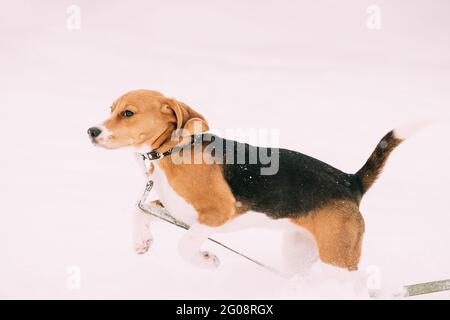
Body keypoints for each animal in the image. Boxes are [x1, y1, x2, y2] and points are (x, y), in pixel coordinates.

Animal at [87, 89, 418, 272]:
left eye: (128, 113)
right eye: (111, 109)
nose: (91, 131)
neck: (173, 151)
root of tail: (349, 181)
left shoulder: (217, 213)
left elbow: (185, 245)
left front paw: (206, 260)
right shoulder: (174, 209)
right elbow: (139, 213)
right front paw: (141, 241)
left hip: (338, 259)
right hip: (300, 252)